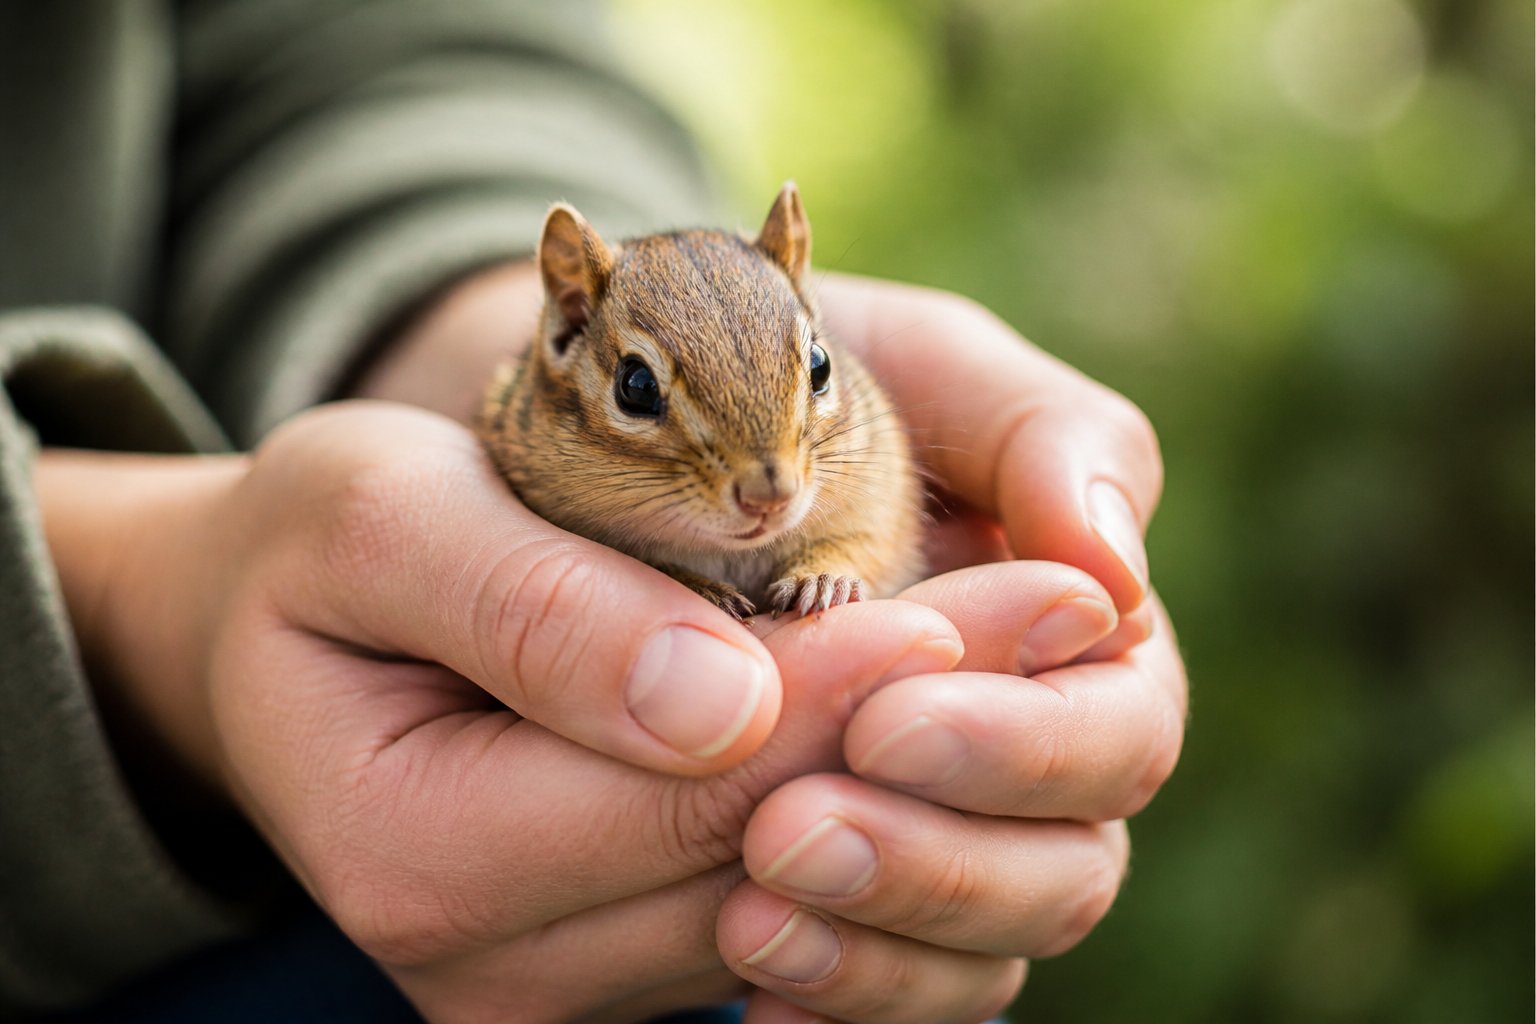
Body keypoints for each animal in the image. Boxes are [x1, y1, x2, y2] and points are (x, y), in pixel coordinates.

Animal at [477, 183, 923, 620]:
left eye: (821, 365)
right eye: (636, 386)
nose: (769, 497)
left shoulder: (881, 502)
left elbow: (863, 545)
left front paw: (820, 578)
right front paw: (703, 587)